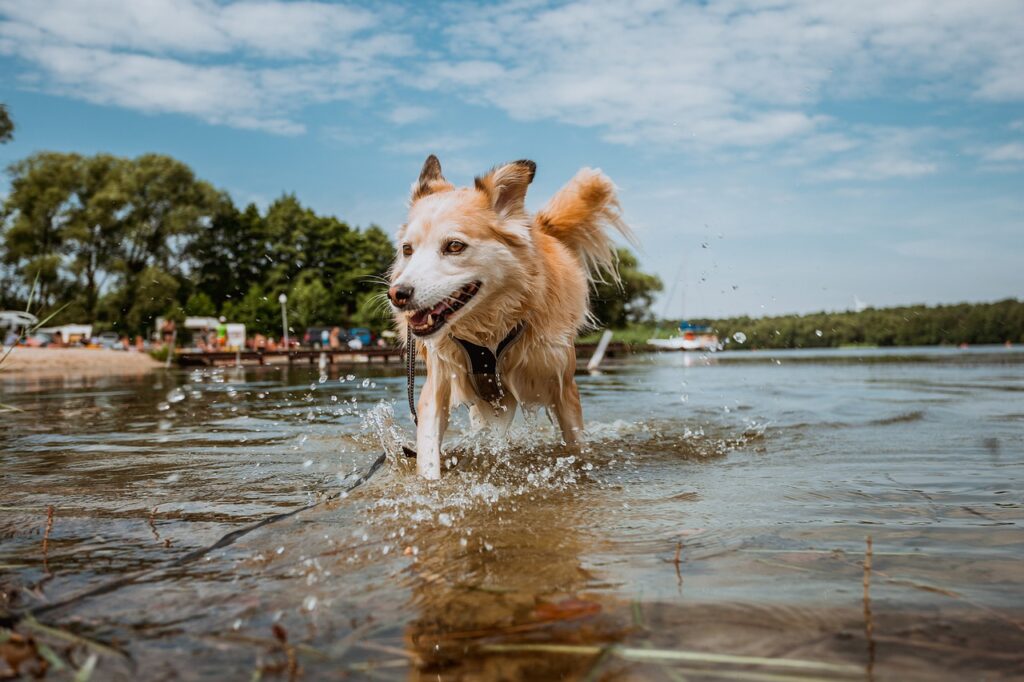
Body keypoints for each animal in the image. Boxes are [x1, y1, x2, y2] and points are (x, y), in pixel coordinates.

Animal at [389, 155, 634, 477]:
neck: (489, 330)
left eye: (454, 246)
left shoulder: (564, 388)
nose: (398, 295)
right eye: (408, 249)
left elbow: (576, 447)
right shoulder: (437, 385)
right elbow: (428, 454)